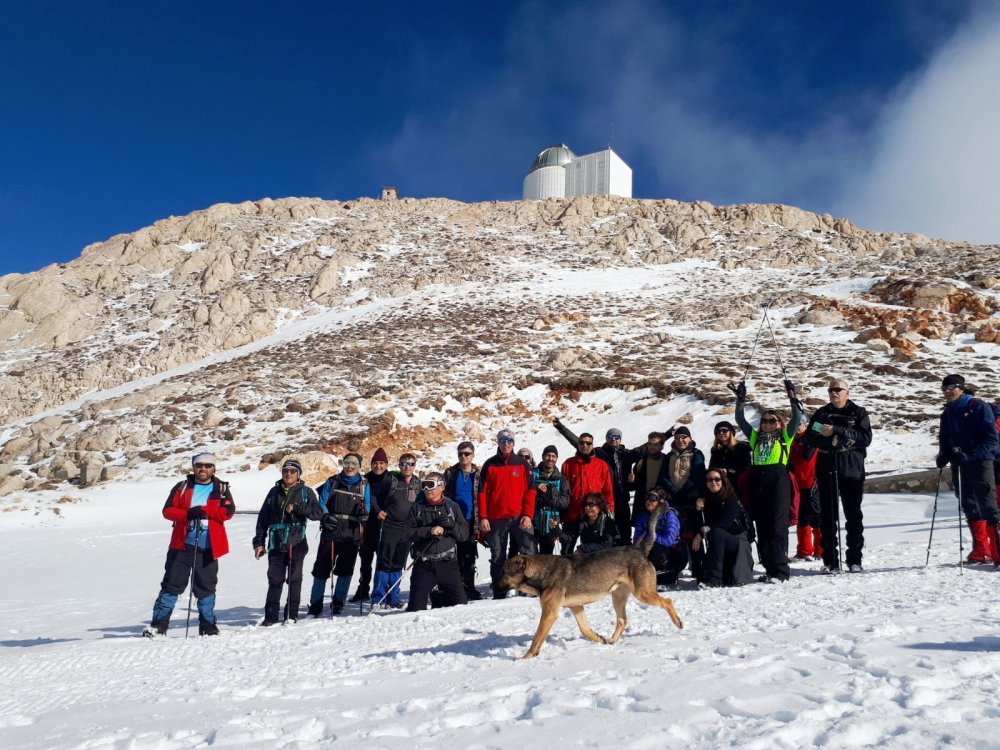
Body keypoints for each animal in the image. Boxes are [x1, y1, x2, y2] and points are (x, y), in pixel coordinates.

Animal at [498, 512, 684, 656]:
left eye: (504, 573)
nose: (495, 587)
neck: (541, 573)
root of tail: (639, 549)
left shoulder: (550, 612)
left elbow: (537, 638)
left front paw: (526, 657)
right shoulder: (576, 606)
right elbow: (584, 629)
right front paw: (599, 638)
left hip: (643, 593)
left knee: (667, 601)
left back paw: (678, 622)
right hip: (618, 596)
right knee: (622, 620)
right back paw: (612, 640)